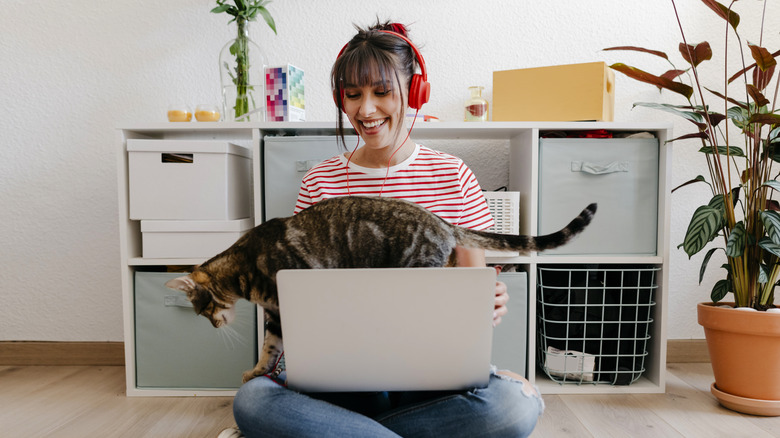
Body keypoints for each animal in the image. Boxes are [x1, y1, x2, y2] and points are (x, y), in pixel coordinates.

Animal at [166, 197, 596, 382]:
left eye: (203, 310)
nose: (214, 326)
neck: (246, 268)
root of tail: (442, 223)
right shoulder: (276, 314)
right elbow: (269, 348)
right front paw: (257, 371)